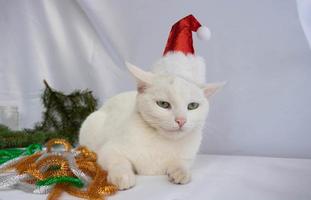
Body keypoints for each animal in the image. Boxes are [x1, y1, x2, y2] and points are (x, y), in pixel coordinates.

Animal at [78, 52, 224, 189]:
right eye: (163, 104)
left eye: (192, 106)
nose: (181, 120)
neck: (162, 142)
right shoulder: (108, 150)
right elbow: (118, 161)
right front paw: (122, 176)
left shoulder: (188, 157)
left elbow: (181, 163)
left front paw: (181, 172)